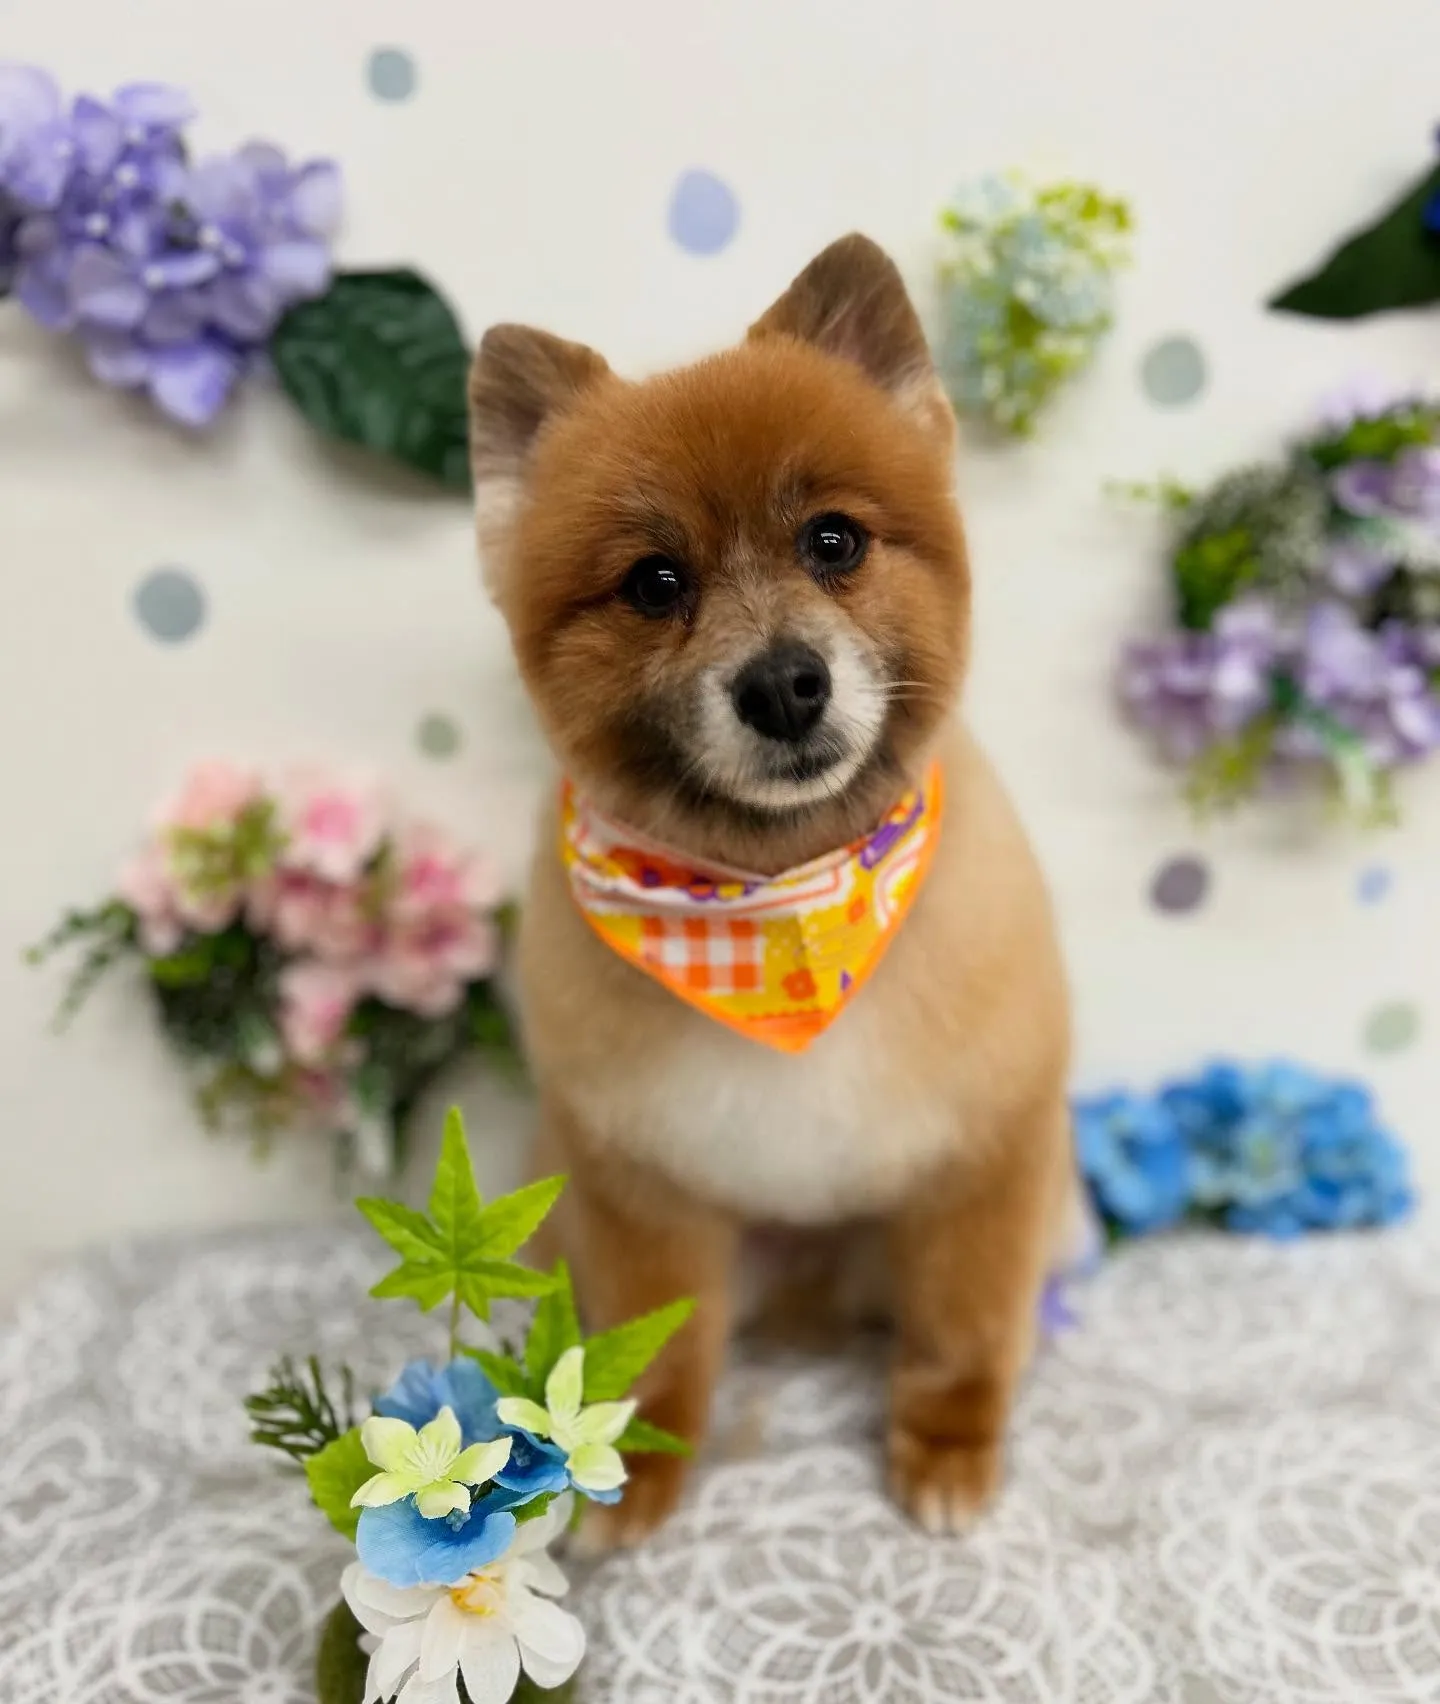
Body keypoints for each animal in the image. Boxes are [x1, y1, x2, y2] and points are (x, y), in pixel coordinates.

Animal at [466, 234, 1072, 1546]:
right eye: (654, 582)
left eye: (833, 543)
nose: (785, 683)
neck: (773, 906)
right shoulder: (642, 1189)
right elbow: (650, 1357)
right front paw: (635, 1475)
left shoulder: (984, 1159)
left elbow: (963, 1333)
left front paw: (949, 1453)